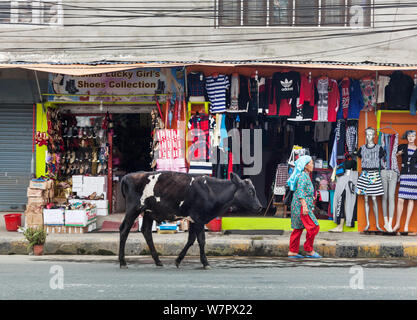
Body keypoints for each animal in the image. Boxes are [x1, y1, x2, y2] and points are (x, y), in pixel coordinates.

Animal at [118, 171, 260, 268]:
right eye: (250, 191)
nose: (259, 207)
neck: (212, 191)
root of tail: (128, 176)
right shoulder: (199, 218)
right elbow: (201, 240)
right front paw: (205, 262)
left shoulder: (193, 219)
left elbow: (191, 240)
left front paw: (178, 260)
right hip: (133, 209)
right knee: (124, 230)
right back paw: (122, 261)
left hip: (148, 213)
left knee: (146, 231)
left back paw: (158, 261)